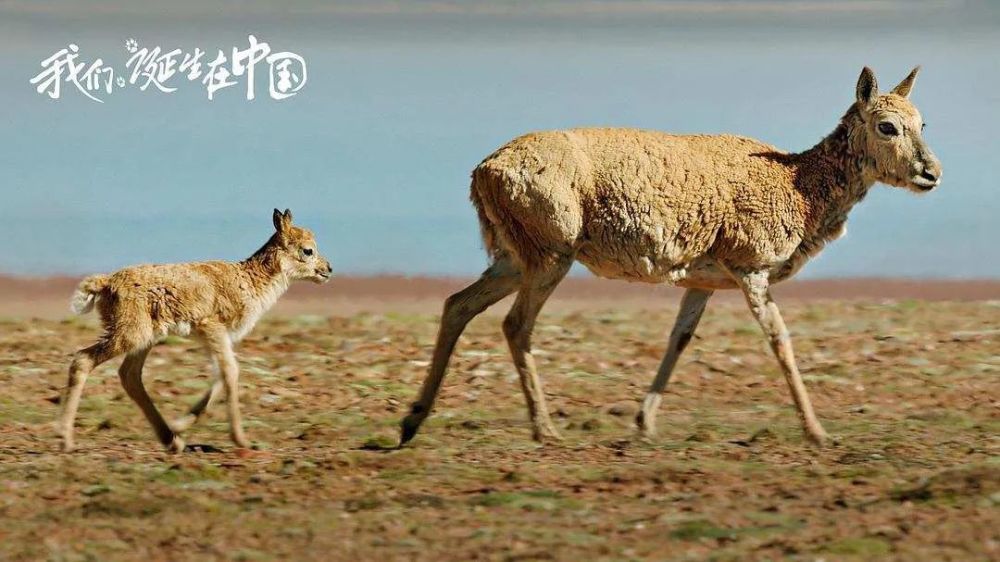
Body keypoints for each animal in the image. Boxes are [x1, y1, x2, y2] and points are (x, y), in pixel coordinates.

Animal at [57, 207, 332, 450]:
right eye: (308, 250)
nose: (328, 269)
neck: (248, 280)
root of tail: (105, 283)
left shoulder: (214, 338)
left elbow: (222, 375)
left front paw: (180, 424)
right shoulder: (212, 329)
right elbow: (231, 372)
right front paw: (241, 440)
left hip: (145, 338)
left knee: (130, 376)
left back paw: (171, 439)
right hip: (130, 334)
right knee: (83, 360)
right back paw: (66, 440)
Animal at [402, 65, 940, 444]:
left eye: (922, 121)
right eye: (887, 126)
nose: (931, 172)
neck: (797, 182)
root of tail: (483, 169)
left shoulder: (703, 282)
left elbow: (678, 339)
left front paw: (643, 423)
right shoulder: (751, 271)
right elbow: (780, 342)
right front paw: (818, 432)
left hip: (513, 261)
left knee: (457, 305)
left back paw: (412, 421)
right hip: (550, 259)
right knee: (515, 325)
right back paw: (544, 428)